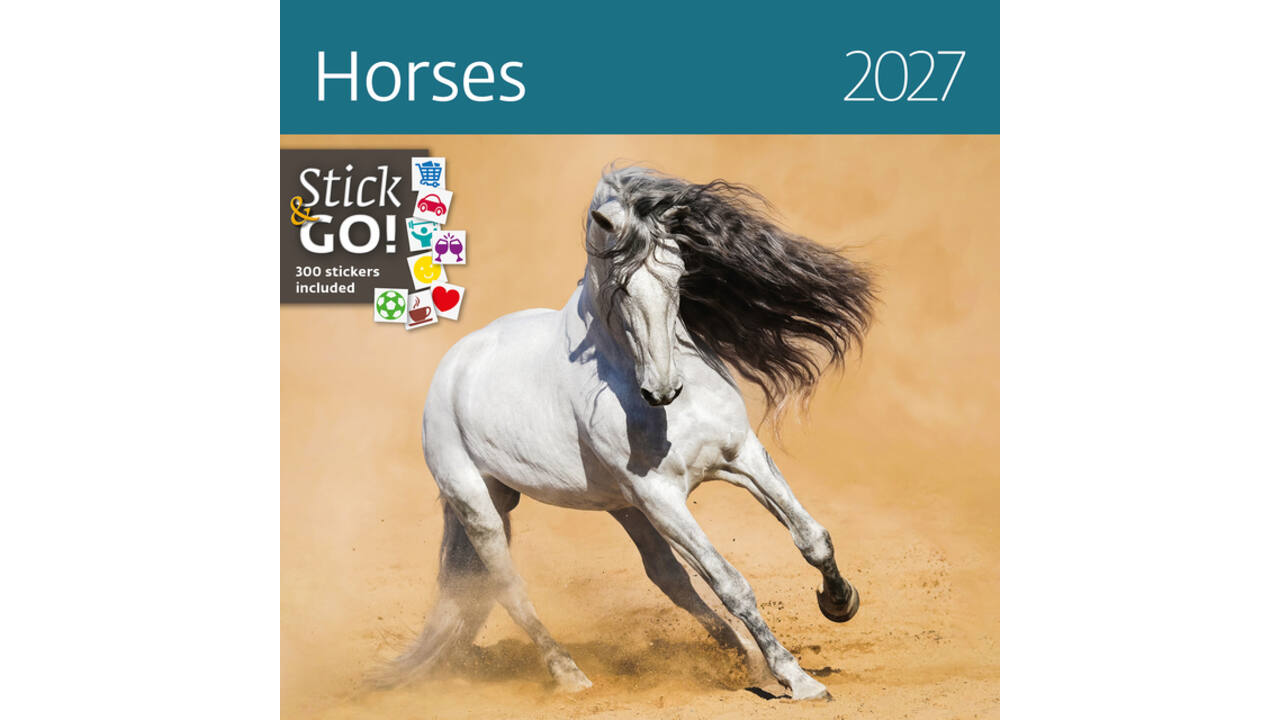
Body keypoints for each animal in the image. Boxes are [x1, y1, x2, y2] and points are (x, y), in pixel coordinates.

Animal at [379, 166, 876, 700]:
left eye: (680, 274)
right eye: (620, 287)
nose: (662, 390)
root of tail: (453, 366)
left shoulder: (741, 456)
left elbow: (812, 537)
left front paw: (840, 602)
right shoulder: (661, 497)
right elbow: (731, 584)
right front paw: (798, 679)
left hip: (623, 508)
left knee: (669, 578)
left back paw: (744, 659)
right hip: (481, 507)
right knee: (510, 589)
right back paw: (571, 675)